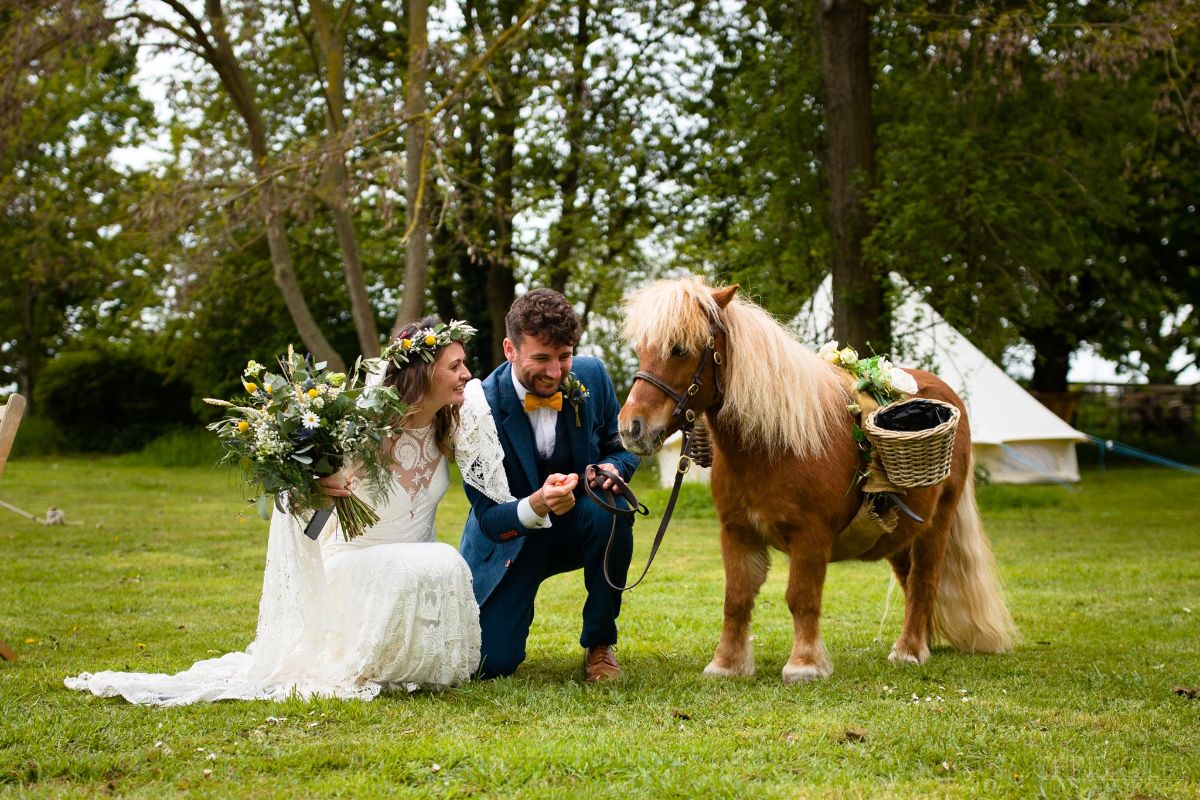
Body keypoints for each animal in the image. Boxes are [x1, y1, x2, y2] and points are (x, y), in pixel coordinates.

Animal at [614, 275, 1017, 681]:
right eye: (642, 350)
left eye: (679, 349)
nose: (632, 427)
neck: (774, 446)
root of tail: (949, 398)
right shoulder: (737, 533)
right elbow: (736, 599)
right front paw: (727, 663)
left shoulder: (811, 536)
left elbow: (801, 598)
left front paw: (804, 664)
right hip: (899, 533)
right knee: (911, 582)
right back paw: (923, 642)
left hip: (937, 524)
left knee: (924, 581)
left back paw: (910, 650)